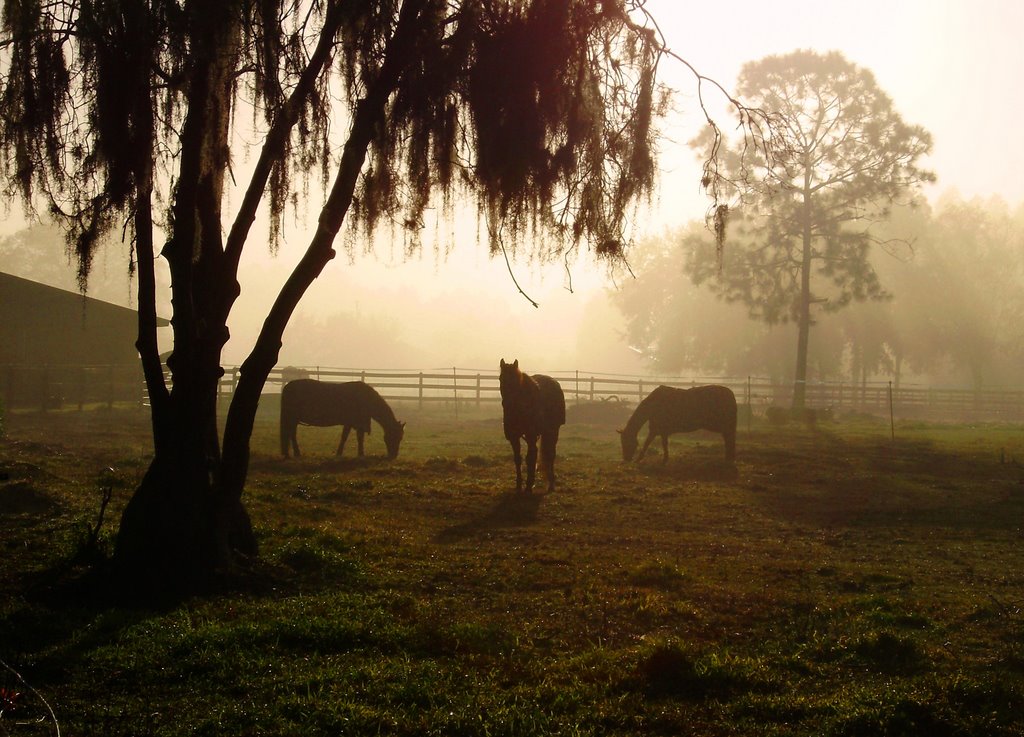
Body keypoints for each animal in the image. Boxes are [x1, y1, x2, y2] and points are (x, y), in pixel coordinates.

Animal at [497, 360, 569, 491]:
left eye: (515, 380)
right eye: (500, 378)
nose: (507, 403)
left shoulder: (531, 435)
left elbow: (530, 458)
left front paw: (529, 484)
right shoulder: (514, 437)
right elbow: (518, 458)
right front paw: (519, 484)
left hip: (553, 431)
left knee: (550, 455)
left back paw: (551, 483)